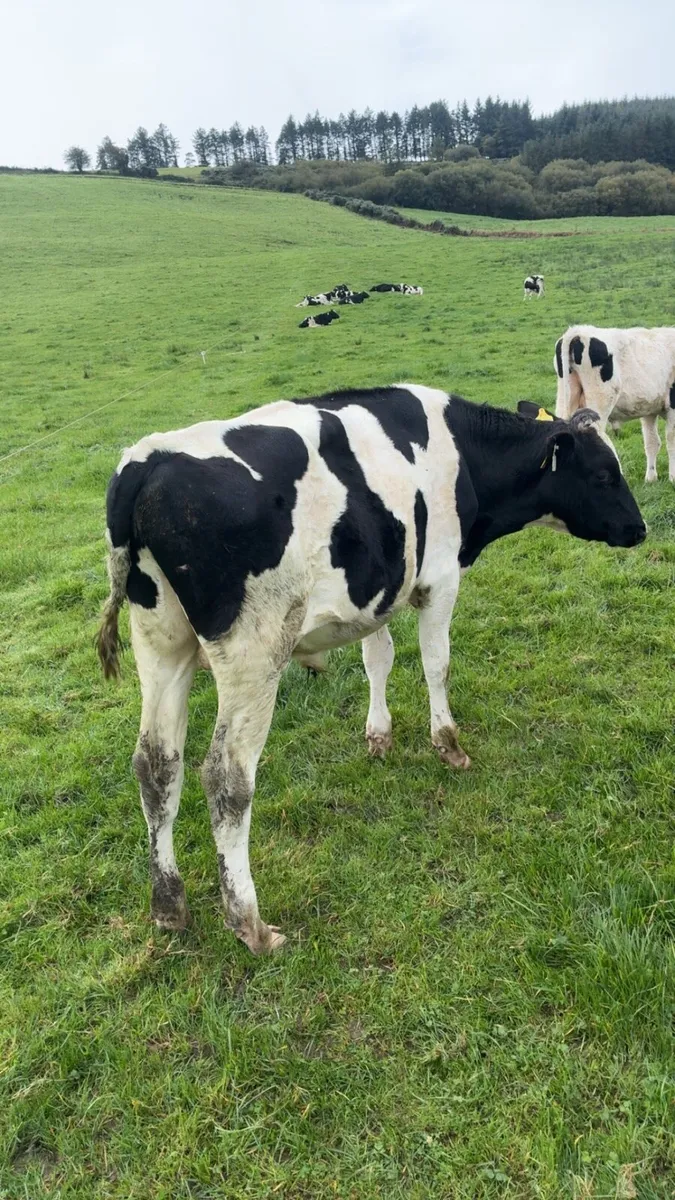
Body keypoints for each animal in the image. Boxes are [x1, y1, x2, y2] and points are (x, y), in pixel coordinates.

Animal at [97, 386, 646, 955]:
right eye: (604, 474)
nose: (640, 528)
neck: (463, 453)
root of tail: (147, 462)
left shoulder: (375, 593)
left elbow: (376, 659)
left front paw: (379, 736)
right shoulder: (440, 579)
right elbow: (436, 663)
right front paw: (447, 743)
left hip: (161, 645)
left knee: (156, 765)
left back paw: (168, 906)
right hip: (254, 654)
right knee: (227, 778)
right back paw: (250, 924)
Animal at [554, 325, 675, 482]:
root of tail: (578, 331)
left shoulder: (649, 409)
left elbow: (652, 442)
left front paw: (651, 478)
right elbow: (671, 441)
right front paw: (673, 478)